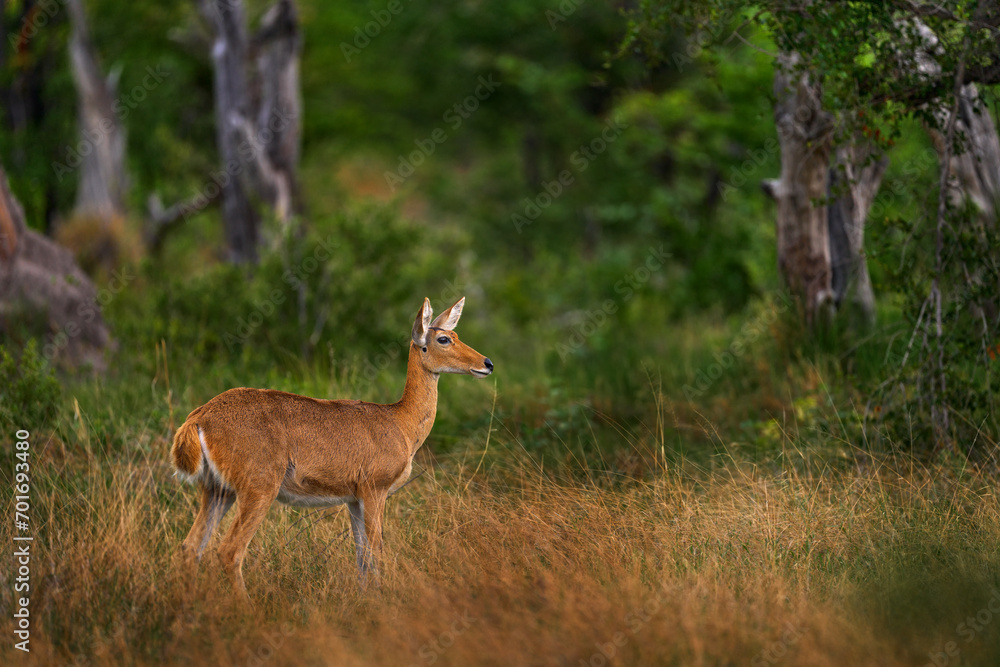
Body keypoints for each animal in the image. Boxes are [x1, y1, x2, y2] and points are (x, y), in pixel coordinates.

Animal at [170, 297, 493, 601]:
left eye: (455, 333)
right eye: (444, 339)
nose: (487, 363)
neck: (401, 423)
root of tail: (199, 418)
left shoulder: (353, 498)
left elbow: (362, 556)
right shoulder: (375, 488)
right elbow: (377, 550)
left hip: (217, 489)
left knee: (189, 547)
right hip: (258, 486)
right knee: (228, 551)